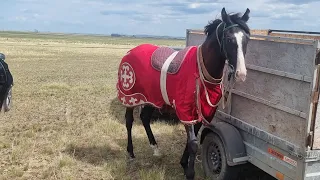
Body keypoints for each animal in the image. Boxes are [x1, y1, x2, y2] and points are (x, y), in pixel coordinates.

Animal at [115, 7, 250, 180]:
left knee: (145, 118)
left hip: (152, 98)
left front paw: (184, 164)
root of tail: (131, 51)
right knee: (129, 121)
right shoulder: (185, 111)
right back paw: (131, 153)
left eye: (246, 39)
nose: (241, 74)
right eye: (228, 38)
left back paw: (155, 148)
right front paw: (189, 172)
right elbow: (192, 143)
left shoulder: (203, 111)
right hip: (131, 97)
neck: (201, 71)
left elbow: (192, 139)